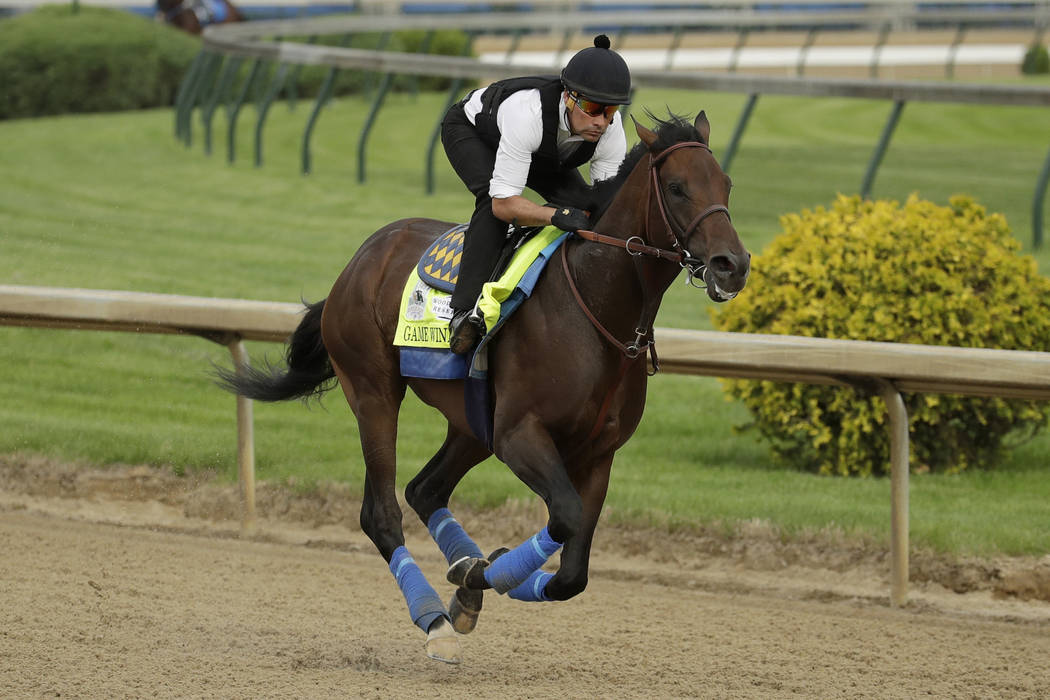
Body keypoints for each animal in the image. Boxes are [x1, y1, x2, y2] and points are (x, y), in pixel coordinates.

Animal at [217, 109, 751, 663]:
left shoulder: (598, 455)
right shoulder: (520, 435)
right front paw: (475, 580)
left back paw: (461, 577)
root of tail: (363, 256)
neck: (594, 310)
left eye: (726, 183)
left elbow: (572, 574)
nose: (732, 265)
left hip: (472, 422)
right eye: (676, 187)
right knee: (381, 512)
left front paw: (475, 577)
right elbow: (564, 517)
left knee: (425, 489)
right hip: (374, 392)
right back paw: (434, 620)